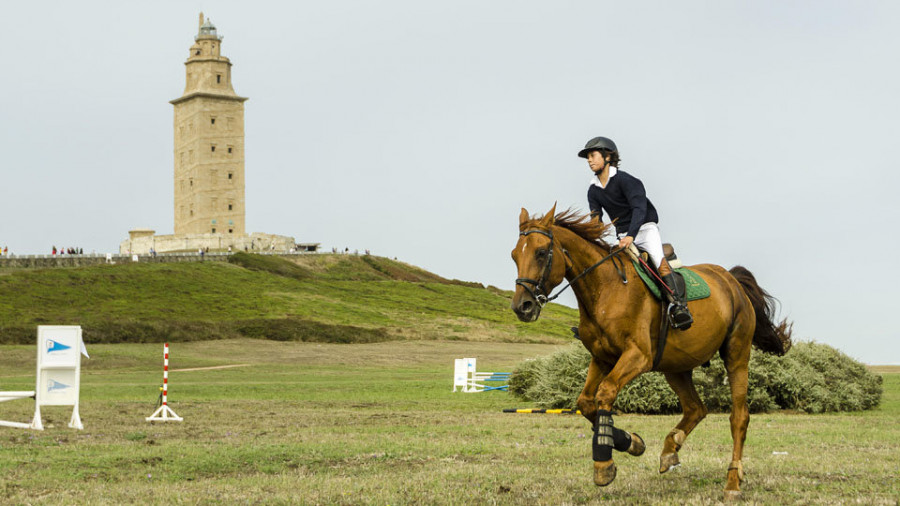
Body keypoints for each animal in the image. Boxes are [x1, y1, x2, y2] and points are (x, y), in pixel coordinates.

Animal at [510, 204, 792, 500]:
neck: (605, 288)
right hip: (676, 366)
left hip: (736, 355)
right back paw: (670, 450)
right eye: (514, 255)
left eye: (541, 253)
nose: (522, 306)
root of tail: (730, 279)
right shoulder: (602, 357)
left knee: (739, 417)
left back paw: (733, 482)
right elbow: (586, 402)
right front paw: (632, 442)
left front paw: (604, 465)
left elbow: (605, 393)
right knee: (696, 408)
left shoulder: (638, 356)